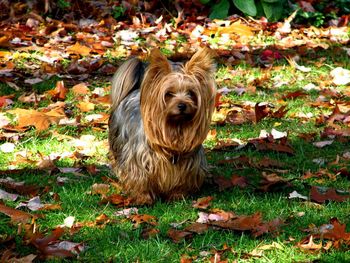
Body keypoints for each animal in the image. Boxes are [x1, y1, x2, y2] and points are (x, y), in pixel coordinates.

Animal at [108, 48, 216, 206]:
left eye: (191, 93)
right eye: (169, 94)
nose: (182, 105)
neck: (175, 129)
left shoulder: (188, 164)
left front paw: (177, 195)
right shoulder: (139, 161)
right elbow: (139, 178)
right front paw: (143, 198)